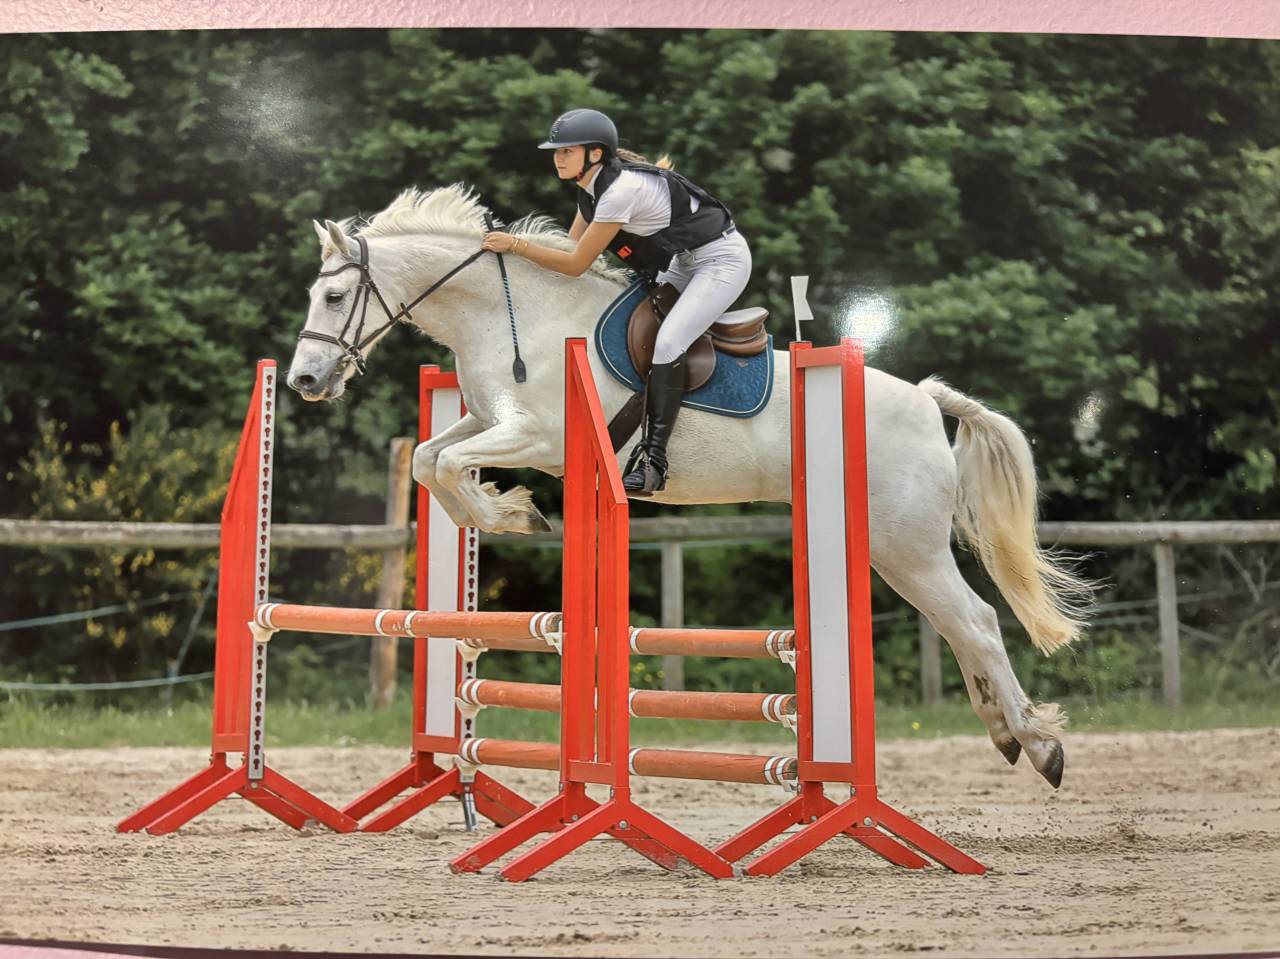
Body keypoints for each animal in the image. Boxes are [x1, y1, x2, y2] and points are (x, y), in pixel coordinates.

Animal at [287, 184, 1093, 789]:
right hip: (892, 548)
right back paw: (1006, 735)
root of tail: (928, 400)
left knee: (976, 621)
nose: (303, 381)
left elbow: (449, 467)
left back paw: (1040, 744)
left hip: (904, 543)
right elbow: (429, 459)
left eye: (335, 298)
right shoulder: (487, 420)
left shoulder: (540, 437)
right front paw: (510, 512)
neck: (511, 318)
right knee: (957, 624)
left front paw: (512, 512)